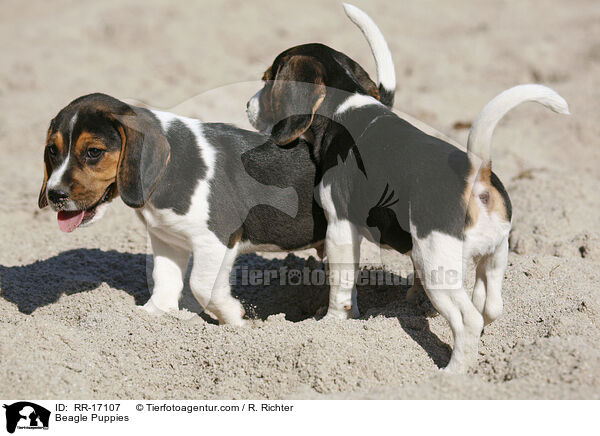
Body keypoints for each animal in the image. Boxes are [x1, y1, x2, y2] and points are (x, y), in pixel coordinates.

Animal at [36, 3, 394, 326]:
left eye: (93, 152)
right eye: (52, 151)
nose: (54, 195)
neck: (166, 174)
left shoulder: (217, 239)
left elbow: (202, 286)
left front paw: (236, 318)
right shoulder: (168, 240)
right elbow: (166, 284)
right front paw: (149, 316)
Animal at [247, 3, 572, 372]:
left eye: (267, 79)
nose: (247, 106)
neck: (346, 108)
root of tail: (477, 173)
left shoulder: (340, 228)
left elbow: (340, 287)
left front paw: (331, 324)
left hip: (435, 264)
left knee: (468, 319)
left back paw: (452, 373)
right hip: (496, 253)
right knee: (490, 307)